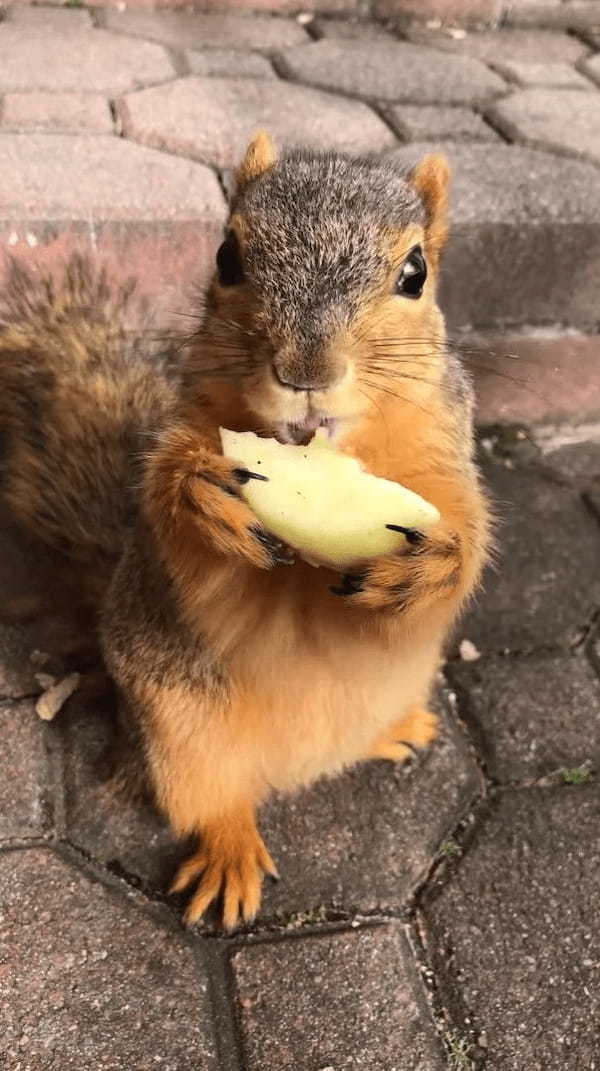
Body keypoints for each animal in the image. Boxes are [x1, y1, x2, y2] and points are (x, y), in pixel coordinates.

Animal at [0, 131, 490, 929]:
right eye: (227, 256)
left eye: (415, 273)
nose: (305, 370)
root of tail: (297, 768)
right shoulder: (184, 439)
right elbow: (178, 526)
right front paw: (199, 496)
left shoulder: (445, 453)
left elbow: (470, 535)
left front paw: (436, 563)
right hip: (182, 735)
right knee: (213, 802)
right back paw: (229, 854)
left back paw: (393, 731)